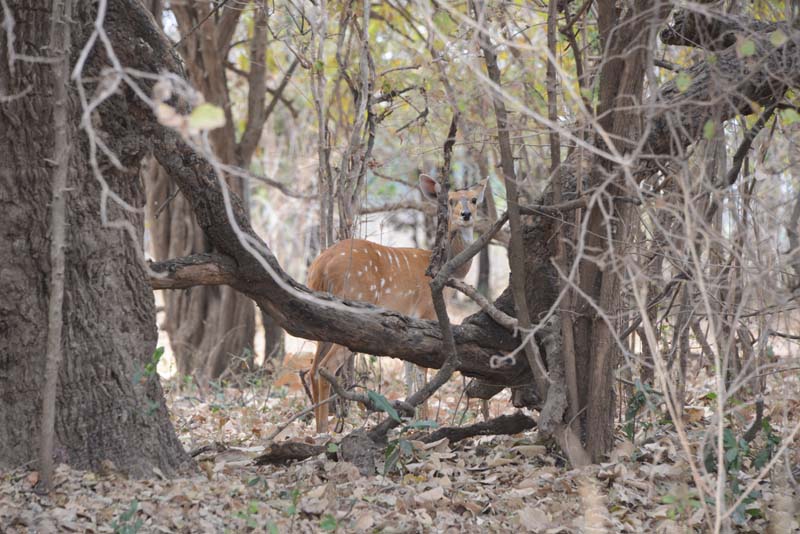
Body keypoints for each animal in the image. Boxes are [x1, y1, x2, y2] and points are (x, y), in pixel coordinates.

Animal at [304, 176, 488, 436]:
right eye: (450, 201)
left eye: (473, 199)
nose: (466, 214)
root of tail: (320, 267)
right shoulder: (427, 312)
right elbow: (421, 370)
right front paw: (425, 424)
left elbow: (409, 370)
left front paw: (409, 421)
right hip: (352, 310)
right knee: (325, 366)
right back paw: (324, 432)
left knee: (313, 368)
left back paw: (320, 429)